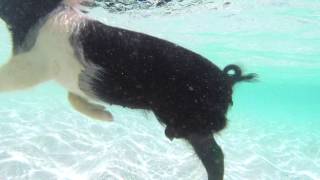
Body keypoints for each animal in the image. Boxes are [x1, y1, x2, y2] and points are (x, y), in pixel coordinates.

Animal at [0, 0, 255, 179]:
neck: (40, 13)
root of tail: (226, 79)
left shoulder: (33, 64)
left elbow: (9, 77)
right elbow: (74, 97)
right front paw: (107, 117)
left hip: (192, 117)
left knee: (215, 146)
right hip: (192, 126)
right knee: (214, 154)